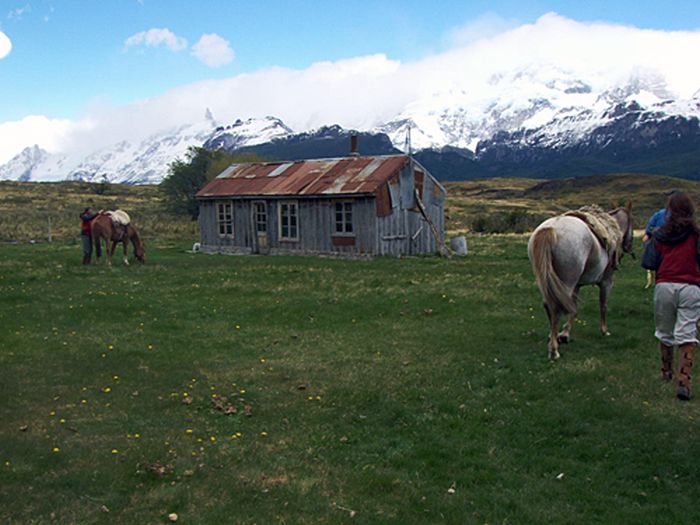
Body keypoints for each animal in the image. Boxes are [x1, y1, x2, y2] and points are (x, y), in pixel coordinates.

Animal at [532, 205, 636, 360]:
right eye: (633, 221)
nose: (629, 246)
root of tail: (551, 228)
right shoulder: (606, 282)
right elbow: (603, 305)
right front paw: (604, 330)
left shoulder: (577, 285)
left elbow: (573, 308)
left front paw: (564, 334)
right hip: (566, 282)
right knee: (556, 307)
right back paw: (554, 350)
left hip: (547, 282)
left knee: (549, 305)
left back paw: (553, 339)